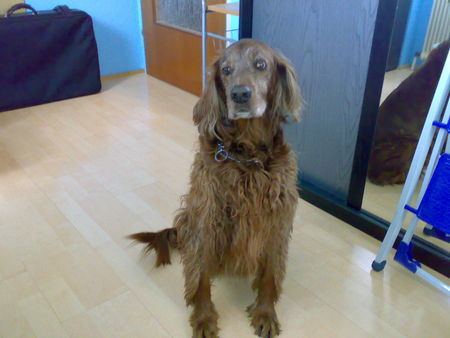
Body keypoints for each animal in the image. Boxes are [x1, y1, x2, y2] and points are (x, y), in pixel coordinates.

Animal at [128, 39, 300, 336]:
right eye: (226, 70)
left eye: (261, 64)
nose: (239, 94)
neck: (247, 156)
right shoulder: (207, 221)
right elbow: (200, 278)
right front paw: (204, 318)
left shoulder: (277, 219)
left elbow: (270, 274)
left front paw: (265, 313)